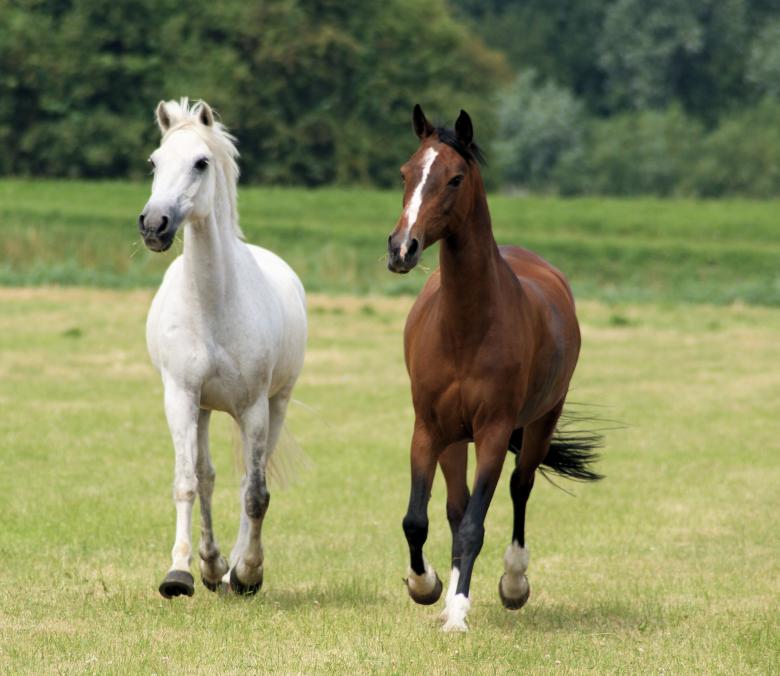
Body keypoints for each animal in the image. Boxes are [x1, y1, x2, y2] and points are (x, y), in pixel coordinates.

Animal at [138, 99, 307, 599]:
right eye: (154, 162)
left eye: (201, 162)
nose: (154, 224)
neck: (213, 303)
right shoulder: (180, 398)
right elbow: (188, 481)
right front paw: (181, 572)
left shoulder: (253, 407)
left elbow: (254, 493)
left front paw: (248, 571)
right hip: (203, 408)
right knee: (208, 477)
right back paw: (212, 567)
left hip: (276, 404)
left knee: (253, 478)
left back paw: (233, 571)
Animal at [386, 105, 602, 632]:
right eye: (405, 172)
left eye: (455, 178)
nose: (402, 249)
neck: (466, 327)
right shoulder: (429, 429)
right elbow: (418, 519)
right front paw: (427, 587)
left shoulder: (493, 432)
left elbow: (475, 526)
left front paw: (459, 613)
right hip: (453, 439)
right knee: (454, 506)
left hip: (541, 421)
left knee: (519, 489)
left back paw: (514, 583)